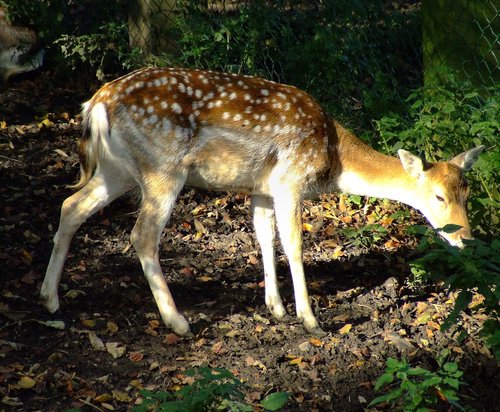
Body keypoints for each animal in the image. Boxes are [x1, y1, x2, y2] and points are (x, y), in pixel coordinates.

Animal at [39, 67, 484, 336]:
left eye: (468, 193)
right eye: (439, 196)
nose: (466, 238)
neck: (333, 156)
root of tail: (96, 104)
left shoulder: (260, 188)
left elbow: (264, 239)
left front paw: (276, 309)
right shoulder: (290, 179)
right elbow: (295, 245)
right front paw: (309, 319)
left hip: (117, 169)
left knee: (70, 206)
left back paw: (49, 299)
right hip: (161, 168)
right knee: (141, 234)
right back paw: (177, 321)